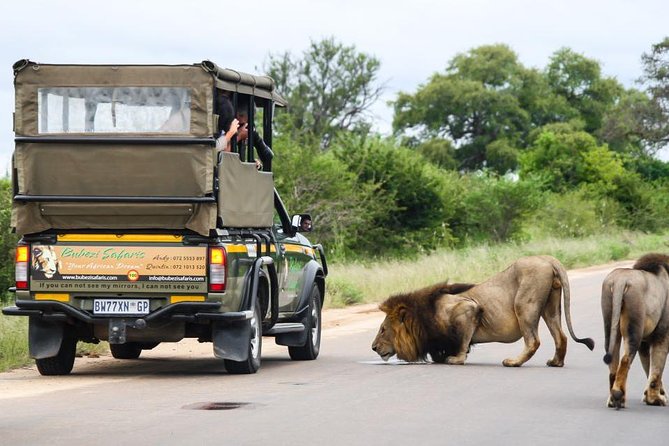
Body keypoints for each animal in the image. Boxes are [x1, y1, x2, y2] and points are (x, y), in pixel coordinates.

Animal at [370, 256, 596, 368]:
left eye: (382, 330)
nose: (372, 347)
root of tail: (549, 260)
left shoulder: (467, 309)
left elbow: (462, 342)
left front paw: (456, 359)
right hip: (550, 306)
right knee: (561, 336)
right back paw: (556, 362)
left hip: (524, 304)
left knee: (533, 341)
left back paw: (513, 362)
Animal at [600, 253, 668, 410]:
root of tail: (620, 280)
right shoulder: (662, 333)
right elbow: (657, 368)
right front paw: (655, 399)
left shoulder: (645, 341)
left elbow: (649, 366)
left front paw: (653, 395)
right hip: (634, 328)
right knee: (625, 359)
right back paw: (618, 397)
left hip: (609, 321)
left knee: (613, 360)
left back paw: (612, 400)